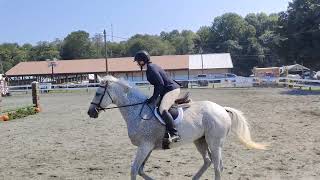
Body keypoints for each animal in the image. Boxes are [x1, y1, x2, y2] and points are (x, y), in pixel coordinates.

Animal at [87, 76, 264, 180]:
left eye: (97, 93)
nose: (90, 112)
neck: (137, 111)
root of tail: (222, 109)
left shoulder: (144, 146)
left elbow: (134, 170)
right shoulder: (147, 147)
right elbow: (140, 170)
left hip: (215, 143)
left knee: (217, 166)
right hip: (200, 140)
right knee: (207, 161)